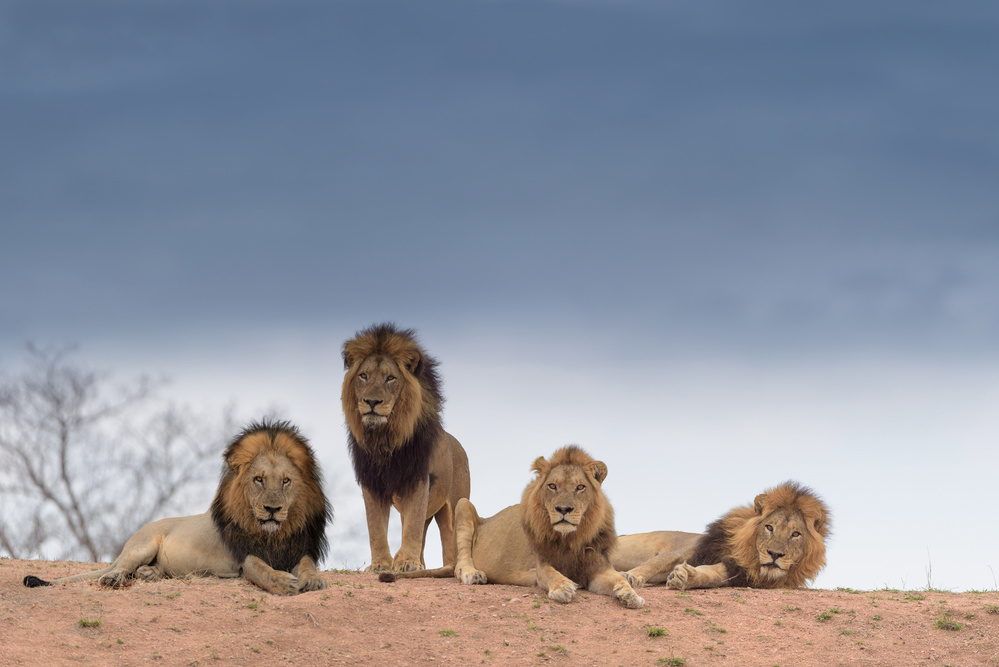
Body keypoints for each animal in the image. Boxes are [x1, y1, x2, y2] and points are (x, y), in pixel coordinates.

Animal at [23, 420, 332, 596]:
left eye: (286, 481)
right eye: (259, 479)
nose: (272, 509)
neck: (274, 535)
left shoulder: (299, 548)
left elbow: (308, 566)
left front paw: (313, 581)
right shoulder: (245, 557)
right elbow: (262, 570)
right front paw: (285, 583)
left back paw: (149, 574)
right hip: (143, 544)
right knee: (120, 567)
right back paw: (114, 578)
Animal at [341, 323, 470, 572]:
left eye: (390, 378)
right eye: (363, 376)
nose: (372, 402)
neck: (385, 438)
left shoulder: (417, 479)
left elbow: (412, 527)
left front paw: (408, 563)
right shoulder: (372, 483)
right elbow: (376, 528)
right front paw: (381, 564)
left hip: (453, 506)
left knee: (450, 543)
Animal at [380, 446, 644, 609]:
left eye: (580, 487)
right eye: (552, 486)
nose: (563, 509)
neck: (572, 538)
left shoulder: (596, 567)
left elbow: (616, 579)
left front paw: (631, 594)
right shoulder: (541, 565)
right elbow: (551, 574)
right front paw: (563, 587)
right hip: (463, 506)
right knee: (459, 564)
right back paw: (473, 574)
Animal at [612, 481, 830, 590]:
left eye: (795, 534)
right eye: (769, 527)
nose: (775, 554)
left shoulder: (732, 570)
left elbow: (709, 576)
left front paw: (685, 578)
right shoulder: (683, 550)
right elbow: (654, 563)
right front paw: (631, 576)